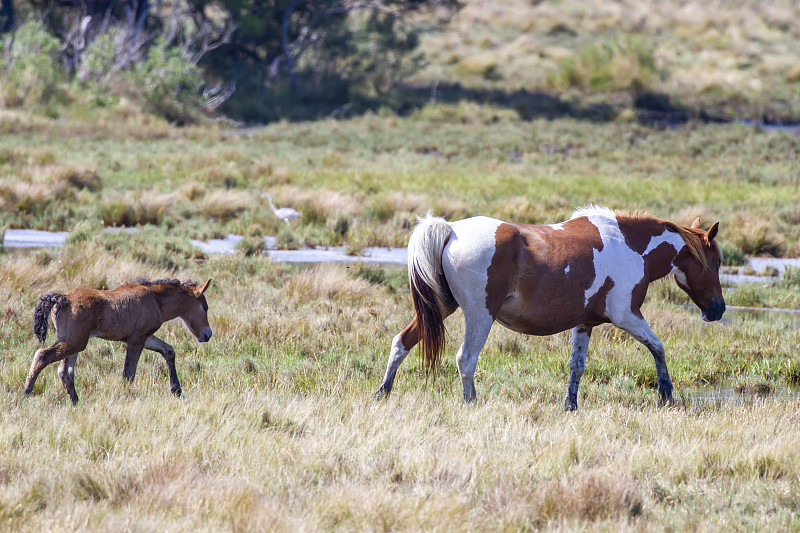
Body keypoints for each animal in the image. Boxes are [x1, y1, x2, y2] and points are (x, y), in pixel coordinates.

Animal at [25, 278, 212, 404]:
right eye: (205, 308)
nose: (208, 334)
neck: (155, 299)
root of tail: (61, 298)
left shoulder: (143, 337)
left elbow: (168, 350)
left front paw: (177, 390)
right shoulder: (137, 339)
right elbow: (129, 373)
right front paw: (126, 397)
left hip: (73, 342)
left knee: (65, 372)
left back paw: (76, 402)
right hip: (74, 342)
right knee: (42, 356)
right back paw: (25, 393)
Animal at [376, 207, 724, 408]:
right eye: (717, 261)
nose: (718, 310)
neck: (631, 246)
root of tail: (450, 230)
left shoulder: (584, 324)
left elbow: (577, 366)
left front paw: (571, 405)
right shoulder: (627, 316)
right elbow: (658, 347)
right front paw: (666, 393)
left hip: (441, 307)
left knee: (402, 342)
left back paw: (383, 392)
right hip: (479, 315)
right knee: (466, 359)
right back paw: (471, 403)